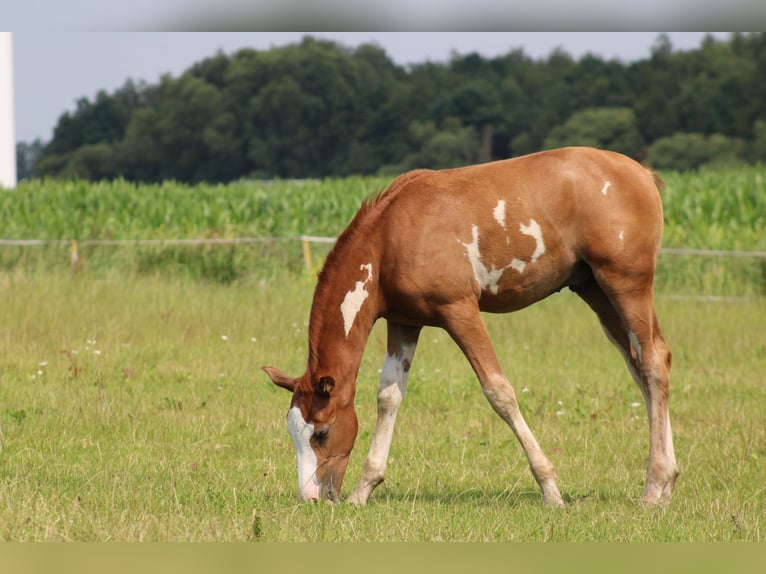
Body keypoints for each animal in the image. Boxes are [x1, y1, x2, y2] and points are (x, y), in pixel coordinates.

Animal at [262, 147, 680, 508]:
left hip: (626, 285)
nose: (312, 497)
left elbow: (499, 391)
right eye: (293, 433)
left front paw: (550, 490)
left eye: (321, 432)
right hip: (595, 291)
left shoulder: (459, 311)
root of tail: (642, 173)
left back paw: (654, 488)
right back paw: (667, 482)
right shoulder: (404, 322)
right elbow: (389, 396)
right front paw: (363, 490)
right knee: (643, 364)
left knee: (653, 361)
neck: (391, 237)